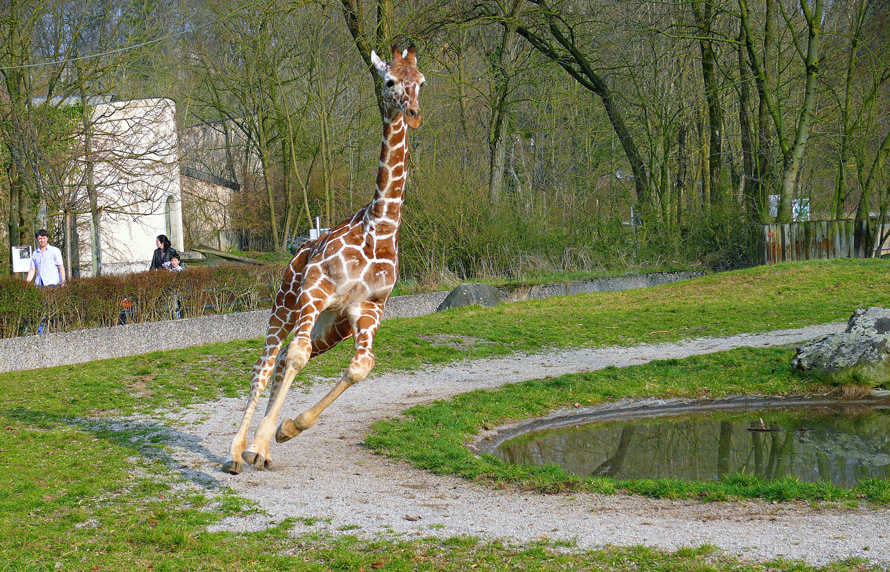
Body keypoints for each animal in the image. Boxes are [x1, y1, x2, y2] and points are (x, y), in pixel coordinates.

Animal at [224, 43, 428, 474]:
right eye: (389, 81)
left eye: (420, 82)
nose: (414, 114)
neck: (380, 229)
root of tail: (298, 251)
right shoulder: (315, 293)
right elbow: (296, 358)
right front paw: (266, 437)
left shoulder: (367, 311)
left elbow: (360, 367)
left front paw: (286, 430)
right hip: (286, 306)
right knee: (266, 365)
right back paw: (235, 453)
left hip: (330, 328)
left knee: (283, 361)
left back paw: (259, 451)